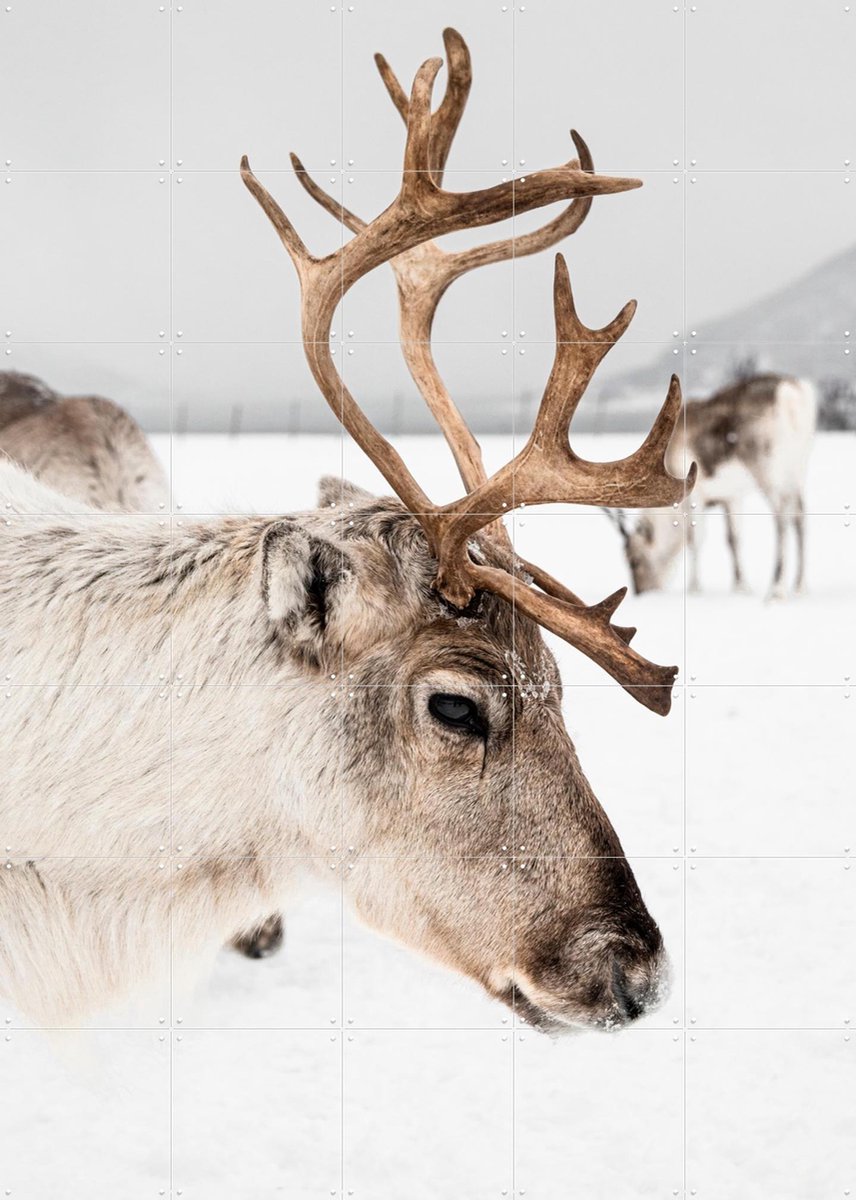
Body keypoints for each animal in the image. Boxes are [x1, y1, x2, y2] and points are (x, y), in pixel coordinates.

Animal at [608, 372, 816, 598]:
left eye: (634, 560)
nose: (642, 592)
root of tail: (791, 393)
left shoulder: (694, 494)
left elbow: (695, 538)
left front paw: (694, 588)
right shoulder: (731, 497)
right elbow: (733, 538)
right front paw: (740, 587)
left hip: (768, 471)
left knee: (781, 519)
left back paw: (777, 588)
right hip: (798, 470)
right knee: (800, 516)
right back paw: (800, 586)